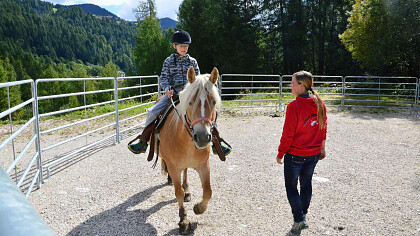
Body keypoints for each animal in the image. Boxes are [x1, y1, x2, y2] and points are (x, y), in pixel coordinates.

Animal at [158, 66, 223, 234]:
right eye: (190, 102)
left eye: (214, 102)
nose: (202, 137)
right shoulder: (173, 167)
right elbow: (178, 192)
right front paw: (184, 221)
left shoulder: (203, 165)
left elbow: (208, 191)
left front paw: (198, 208)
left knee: (186, 172)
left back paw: (187, 189)